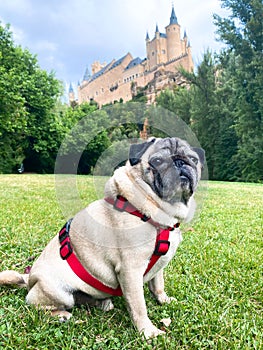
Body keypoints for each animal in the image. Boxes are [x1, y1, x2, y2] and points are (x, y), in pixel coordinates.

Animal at [0, 137, 206, 340]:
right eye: (157, 161)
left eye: (193, 159)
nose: (180, 162)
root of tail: (30, 279)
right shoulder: (131, 270)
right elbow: (139, 306)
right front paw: (148, 331)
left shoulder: (158, 265)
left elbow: (158, 284)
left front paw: (163, 300)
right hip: (57, 292)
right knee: (38, 306)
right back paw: (62, 315)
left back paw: (102, 303)